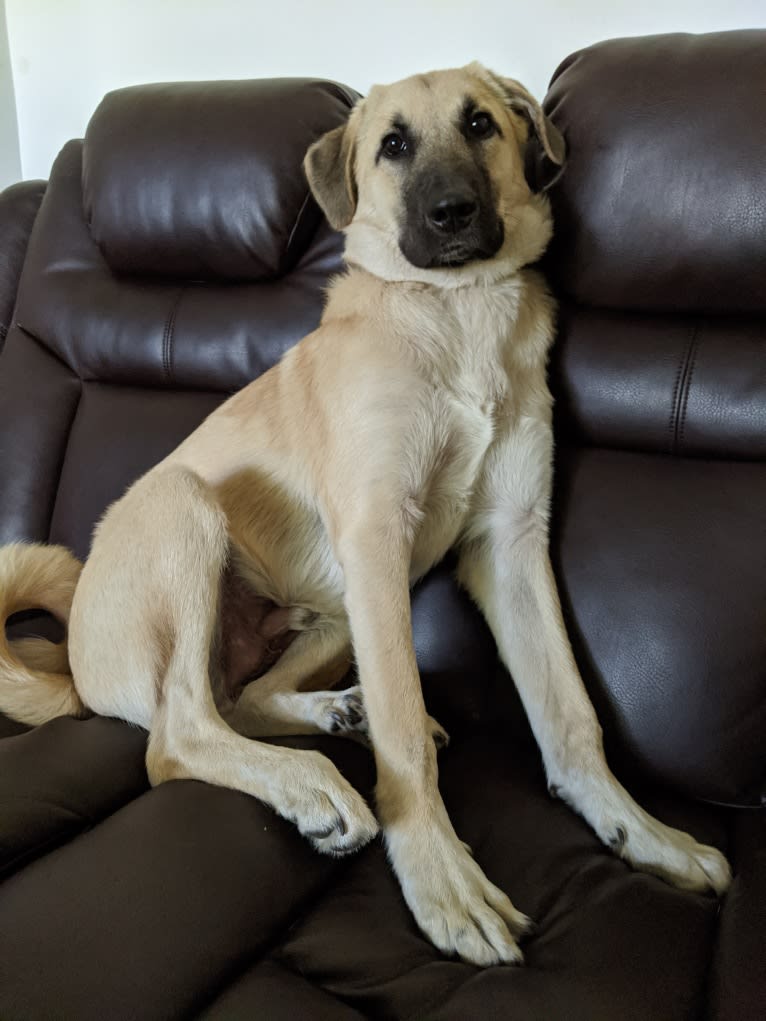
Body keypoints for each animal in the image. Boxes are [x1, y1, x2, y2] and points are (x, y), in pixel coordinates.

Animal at [0, 63, 731, 963]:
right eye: (392, 145)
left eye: (481, 124)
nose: (452, 213)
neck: (454, 308)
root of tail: (72, 658)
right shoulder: (379, 539)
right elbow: (406, 736)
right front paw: (442, 880)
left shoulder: (511, 545)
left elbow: (570, 712)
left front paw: (637, 828)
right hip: (190, 507)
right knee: (176, 734)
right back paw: (315, 781)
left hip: (334, 612)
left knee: (238, 698)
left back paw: (337, 713)